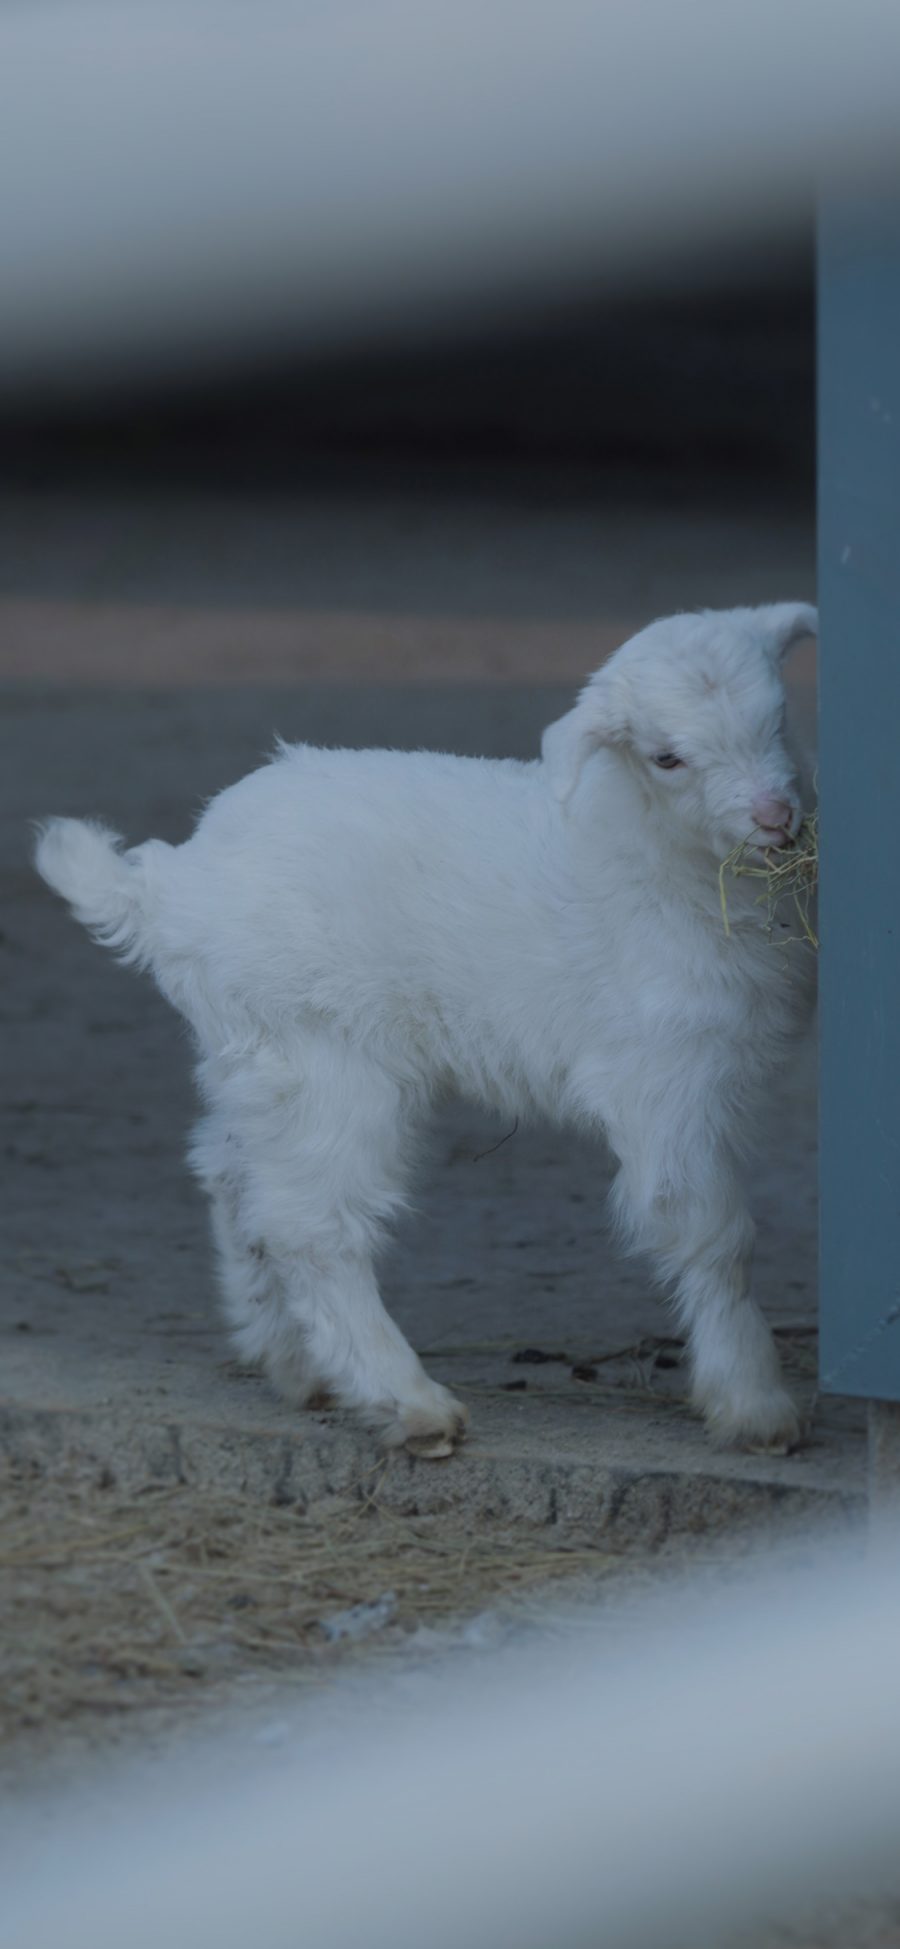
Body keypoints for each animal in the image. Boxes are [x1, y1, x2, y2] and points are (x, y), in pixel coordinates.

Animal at [33, 600, 814, 1457]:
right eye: (667, 757)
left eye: (778, 717)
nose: (776, 817)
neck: (651, 852)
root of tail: (169, 890)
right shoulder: (666, 1078)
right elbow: (714, 1234)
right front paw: (755, 1405)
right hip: (326, 1057)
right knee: (311, 1221)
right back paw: (408, 1401)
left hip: (256, 1058)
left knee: (237, 1181)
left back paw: (294, 1362)